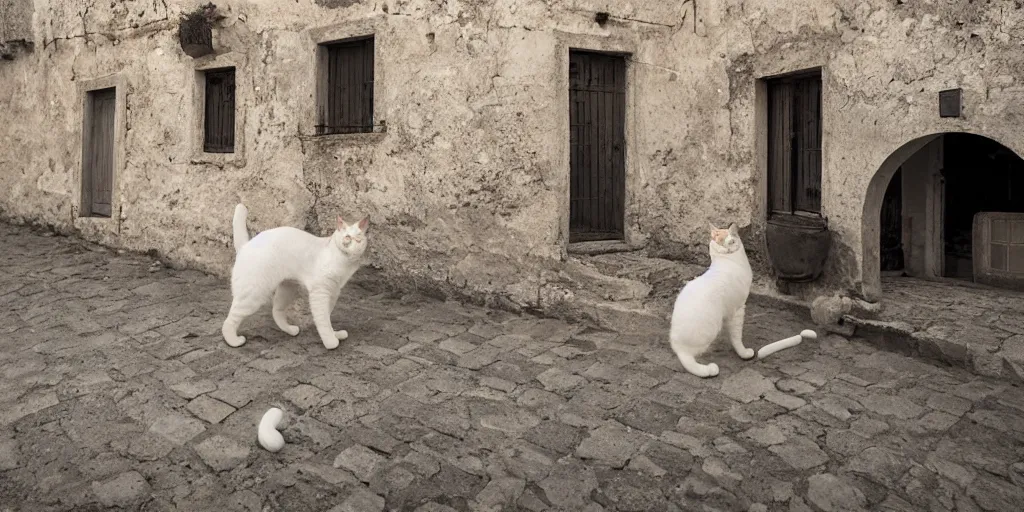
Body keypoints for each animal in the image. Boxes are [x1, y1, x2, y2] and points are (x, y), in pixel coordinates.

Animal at [222, 202, 370, 348]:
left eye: (359, 239)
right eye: (347, 237)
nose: (352, 244)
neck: (343, 262)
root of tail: (245, 245)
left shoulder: (333, 292)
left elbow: (327, 317)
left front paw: (336, 334)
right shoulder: (320, 294)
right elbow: (323, 321)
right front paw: (331, 342)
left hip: (287, 289)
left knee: (276, 311)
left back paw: (290, 330)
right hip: (253, 296)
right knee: (229, 321)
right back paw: (234, 341)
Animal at [667, 222, 757, 378]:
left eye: (732, 238)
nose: (729, 244)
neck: (727, 261)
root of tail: (680, 350)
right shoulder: (738, 310)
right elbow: (736, 337)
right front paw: (744, 353)